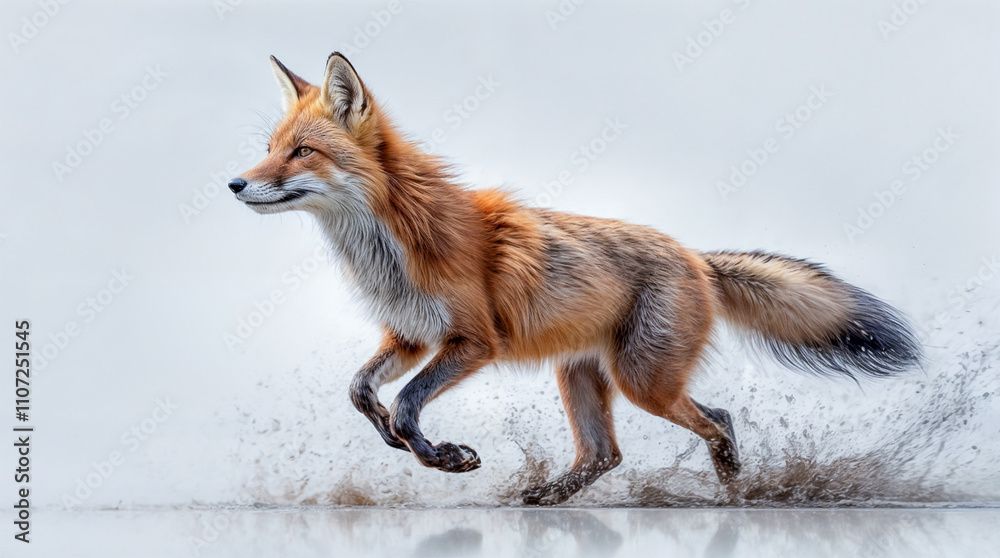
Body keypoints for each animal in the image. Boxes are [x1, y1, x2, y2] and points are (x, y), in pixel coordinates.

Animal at [228, 53, 922, 505]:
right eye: (269, 148)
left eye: (301, 152)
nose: (234, 183)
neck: (393, 247)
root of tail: (696, 257)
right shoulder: (410, 336)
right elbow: (361, 392)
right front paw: (408, 444)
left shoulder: (473, 341)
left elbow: (404, 404)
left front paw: (442, 458)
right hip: (579, 374)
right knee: (605, 453)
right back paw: (547, 497)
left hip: (642, 381)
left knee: (718, 419)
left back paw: (736, 494)